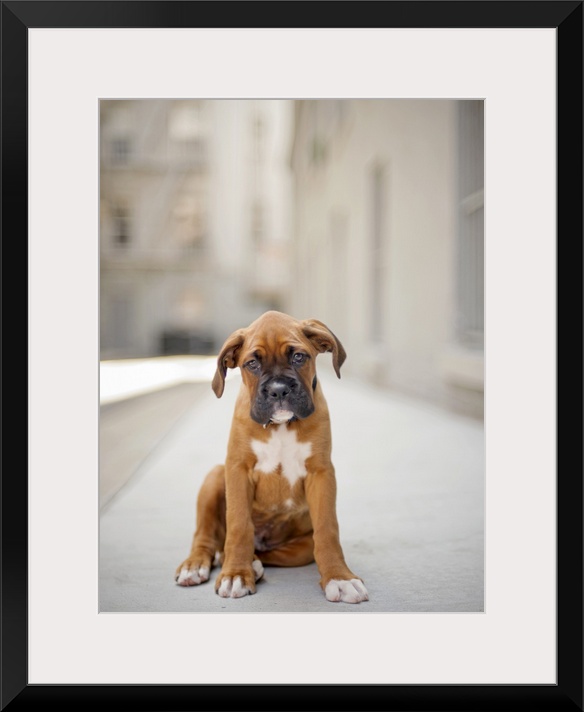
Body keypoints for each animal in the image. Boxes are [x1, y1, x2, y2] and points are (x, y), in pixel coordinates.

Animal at [175, 311, 368, 603]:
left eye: (298, 357)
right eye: (252, 363)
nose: (278, 390)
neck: (281, 426)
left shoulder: (321, 473)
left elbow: (328, 529)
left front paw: (340, 578)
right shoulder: (237, 469)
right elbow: (239, 525)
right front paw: (235, 574)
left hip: (301, 548)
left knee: (269, 553)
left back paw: (254, 565)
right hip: (214, 476)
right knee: (207, 538)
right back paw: (196, 565)